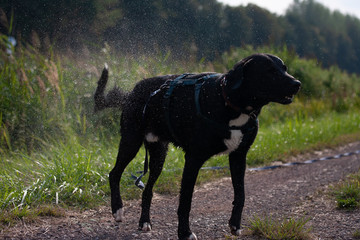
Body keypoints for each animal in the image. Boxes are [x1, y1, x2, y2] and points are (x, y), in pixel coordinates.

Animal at [93, 53, 300, 239]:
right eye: (269, 71)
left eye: (284, 68)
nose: (297, 83)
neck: (228, 101)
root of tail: (132, 92)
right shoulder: (193, 159)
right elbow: (185, 201)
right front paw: (185, 233)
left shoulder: (239, 156)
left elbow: (240, 194)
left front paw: (235, 224)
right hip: (131, 141)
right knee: (114, 173)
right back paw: (118, 210)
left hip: (158, 156)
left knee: (148, 190)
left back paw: (144, 222)